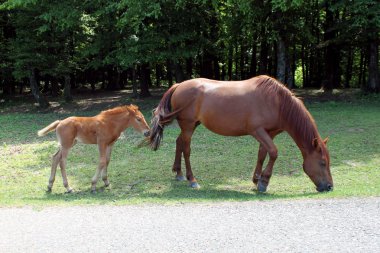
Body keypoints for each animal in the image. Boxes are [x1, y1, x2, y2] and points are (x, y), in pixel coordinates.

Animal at [148, 74, 332, 192]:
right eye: (322, 162)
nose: (330, 187)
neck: (277, 102)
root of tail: (179, 85)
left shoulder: (269, 133)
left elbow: (262, 154)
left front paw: (257, 180)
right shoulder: (258, 131)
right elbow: (273, 152)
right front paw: (264, 182)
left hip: (192, 126)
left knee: (179, 142)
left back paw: (179, 174)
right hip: (188, 125)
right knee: (186, 149)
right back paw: (192, 180)